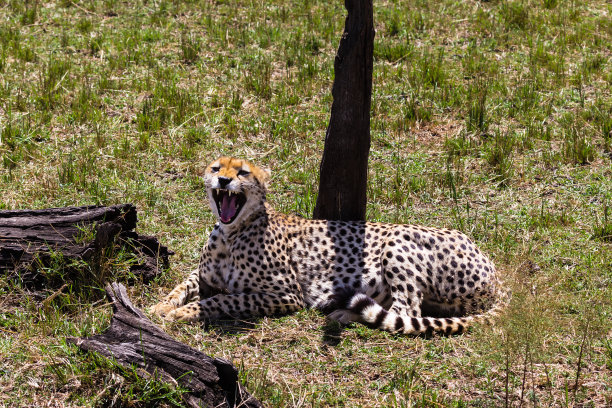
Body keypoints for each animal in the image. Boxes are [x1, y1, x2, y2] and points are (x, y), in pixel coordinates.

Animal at [154, 156, 506, 334]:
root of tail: (494, 270)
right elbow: (183, 285)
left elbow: (224, 300)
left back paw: (345, 314)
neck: (232, 232)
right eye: (216, 168)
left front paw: (185, 312)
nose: (224, 181)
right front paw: (161, 306)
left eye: (242, 172)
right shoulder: (204, 276)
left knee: (406, 312)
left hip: (398, 239)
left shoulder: (287, 295)